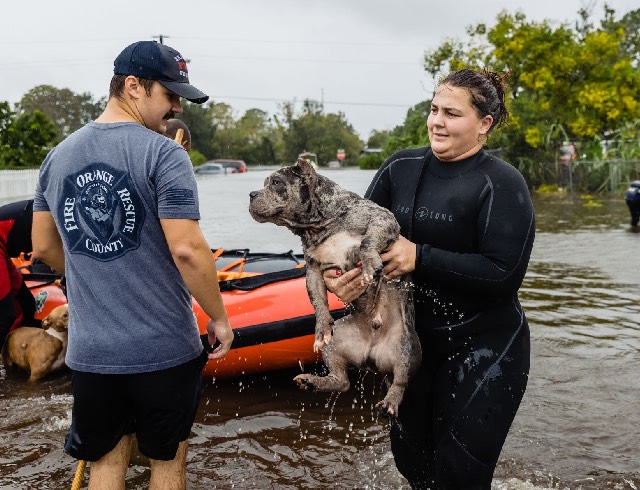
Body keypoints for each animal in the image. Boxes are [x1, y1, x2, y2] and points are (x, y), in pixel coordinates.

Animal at [248, 158, 422, 418]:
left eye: (276, 182)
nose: (251, 194)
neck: (318, 225)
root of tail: (372, 356)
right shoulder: (312, 270)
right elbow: (317, 300)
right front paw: (321, 328)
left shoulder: (382, 219)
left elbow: (367, 242)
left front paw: (370, 264)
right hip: (338, 342)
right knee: (342, 381)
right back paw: (311, 381)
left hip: (406, 348)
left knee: (400, 381)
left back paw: (390, 402)